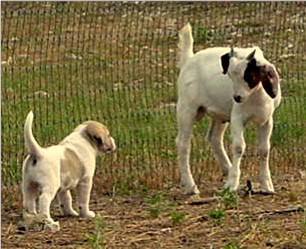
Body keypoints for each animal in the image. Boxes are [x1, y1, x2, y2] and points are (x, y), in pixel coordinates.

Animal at [176, 23, 280, 195]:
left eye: (249, 75)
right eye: (229, 75)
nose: (237, 98)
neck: (254, 97)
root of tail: (189, 59)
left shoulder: (266, 120)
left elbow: (264, 149)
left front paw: (267, 185)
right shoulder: (237, 117)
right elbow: (239, 147)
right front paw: (232, 184)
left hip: (220, 115)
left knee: (214, 138)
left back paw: (227, 169)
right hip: (187, 108)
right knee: (183, 144)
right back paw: (191, 186)